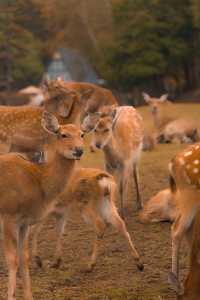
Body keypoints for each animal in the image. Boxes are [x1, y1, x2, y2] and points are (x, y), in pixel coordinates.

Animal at [0, 110, 83, 300]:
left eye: (82, 134)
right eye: (63, 134)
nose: (79, 150)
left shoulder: (24, 223)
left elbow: (24, 258)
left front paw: (29, 296)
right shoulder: (8, 217)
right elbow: (12, 259)